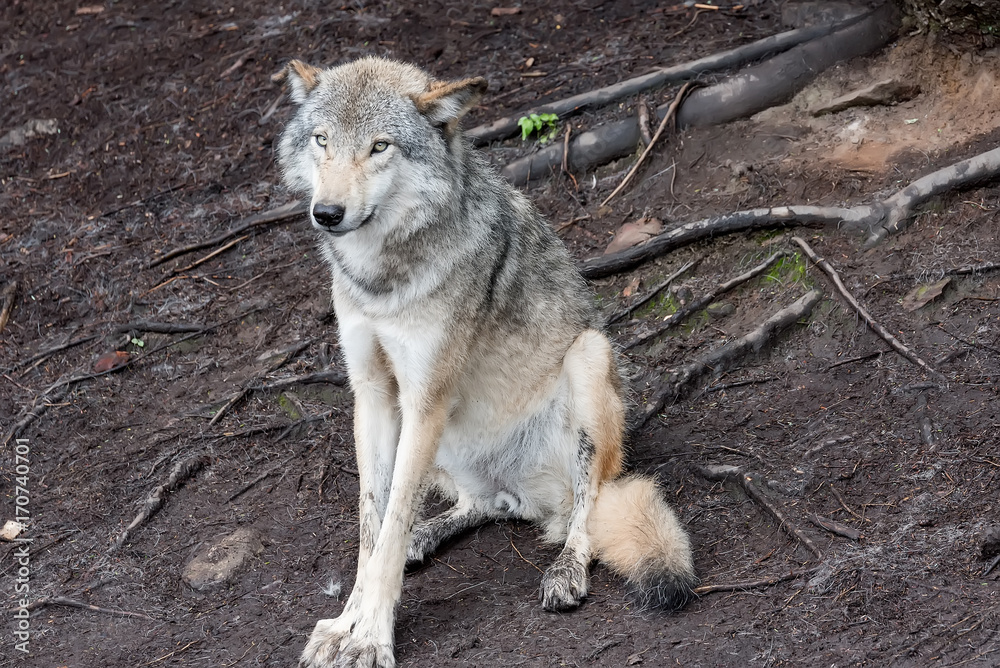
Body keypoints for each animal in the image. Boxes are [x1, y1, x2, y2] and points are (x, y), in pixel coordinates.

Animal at [273, 56, 697, 668]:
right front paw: (348, 623)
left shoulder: (425, 396)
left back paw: (565, 570)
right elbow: (373, 525)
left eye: (379, 147)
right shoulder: (373, 393)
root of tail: (533, 499)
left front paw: (371, 636)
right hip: (448, 445)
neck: (382, 276)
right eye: (321, 140)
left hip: (588, 357)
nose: (327, 213)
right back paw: (430, 535)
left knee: (586, 508)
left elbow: (390, 524)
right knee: (482, 504)